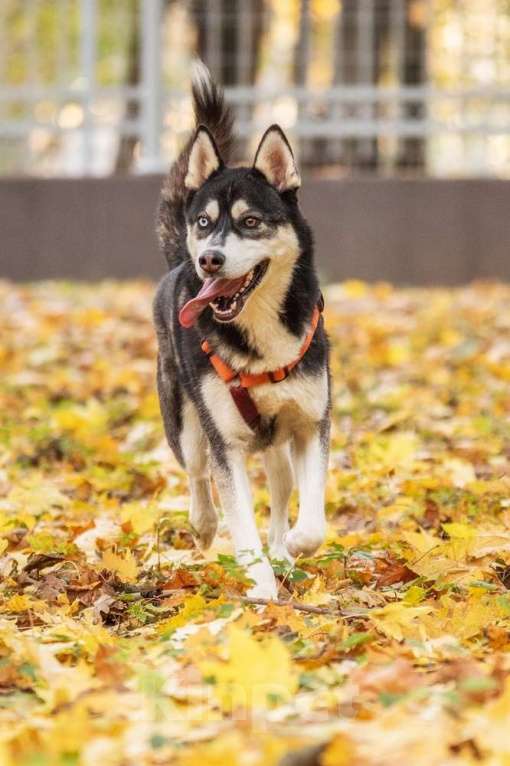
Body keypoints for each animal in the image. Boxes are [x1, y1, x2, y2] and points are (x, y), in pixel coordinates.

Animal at [152, 63, 330, 600]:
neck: (258, 333)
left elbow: (312, 521)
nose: (209, 259)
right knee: (196, 474)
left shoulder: (311, 424)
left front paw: (291, 548)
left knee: (282, 488)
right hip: (184, 424)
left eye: (250, 221)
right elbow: (240, 521)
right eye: (204, 222)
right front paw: (261, 588)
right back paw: (204, 523)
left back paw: (282, 550)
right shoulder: (225, 445)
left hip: (277, 448)